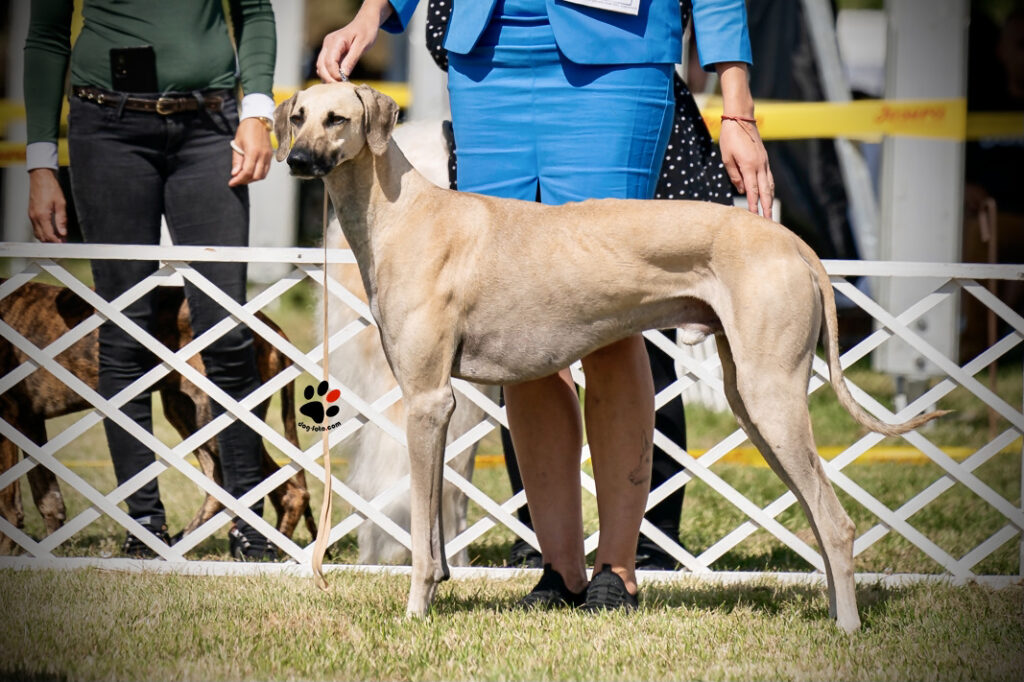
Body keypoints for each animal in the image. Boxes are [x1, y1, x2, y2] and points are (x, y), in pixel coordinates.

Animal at [276, 82, 946, 630]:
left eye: (338, 118)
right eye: (298, 116)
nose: (296, 160)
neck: (404, 211)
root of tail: (792, 241)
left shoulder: (427, 400)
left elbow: (420, 530)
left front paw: (416, 611)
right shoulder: (439, 407)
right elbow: (436, 531)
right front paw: (437, 589)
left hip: (770, 396)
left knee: (837, 524)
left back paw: (847, 629)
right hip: (754, 401)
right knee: (818, 514)